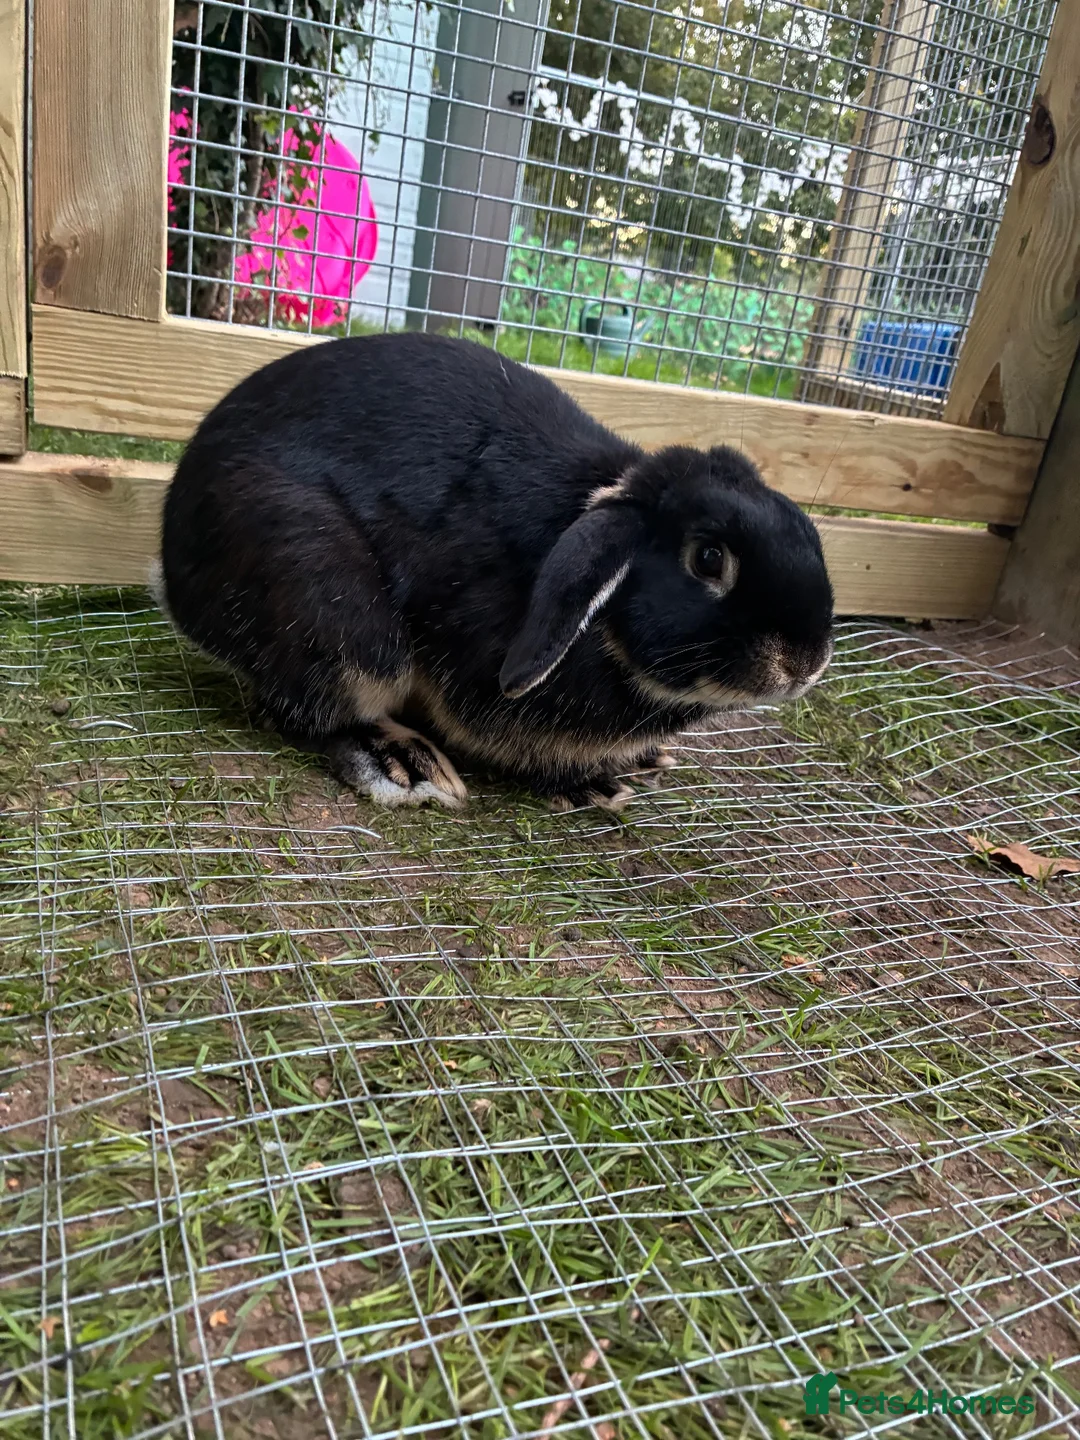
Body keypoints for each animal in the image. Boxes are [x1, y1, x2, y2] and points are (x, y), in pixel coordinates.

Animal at [157, 332, 834, 810]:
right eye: (709, 558)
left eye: (804, 526)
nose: (807, 660)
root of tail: (172, 563)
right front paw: (590, 786)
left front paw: (637, 763)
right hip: (335, 608)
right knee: (314, 708)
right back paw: (403, 763)